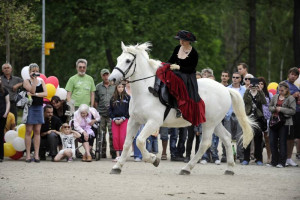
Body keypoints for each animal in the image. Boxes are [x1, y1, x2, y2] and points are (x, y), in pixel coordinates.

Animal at [108, 42, 253, 175]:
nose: (112, 79)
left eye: (128, 61)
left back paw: (187, 168)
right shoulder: (134, 121)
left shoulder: (153, 122)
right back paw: (229, 168)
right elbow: (127, 143)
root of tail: (226, 89)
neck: (145, 90)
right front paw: (117, 167)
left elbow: (139, 141)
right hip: (214, 123)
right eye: (118, 58)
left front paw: (153, 159)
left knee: (205, 143)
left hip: (209, 124)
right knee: (227, 138)